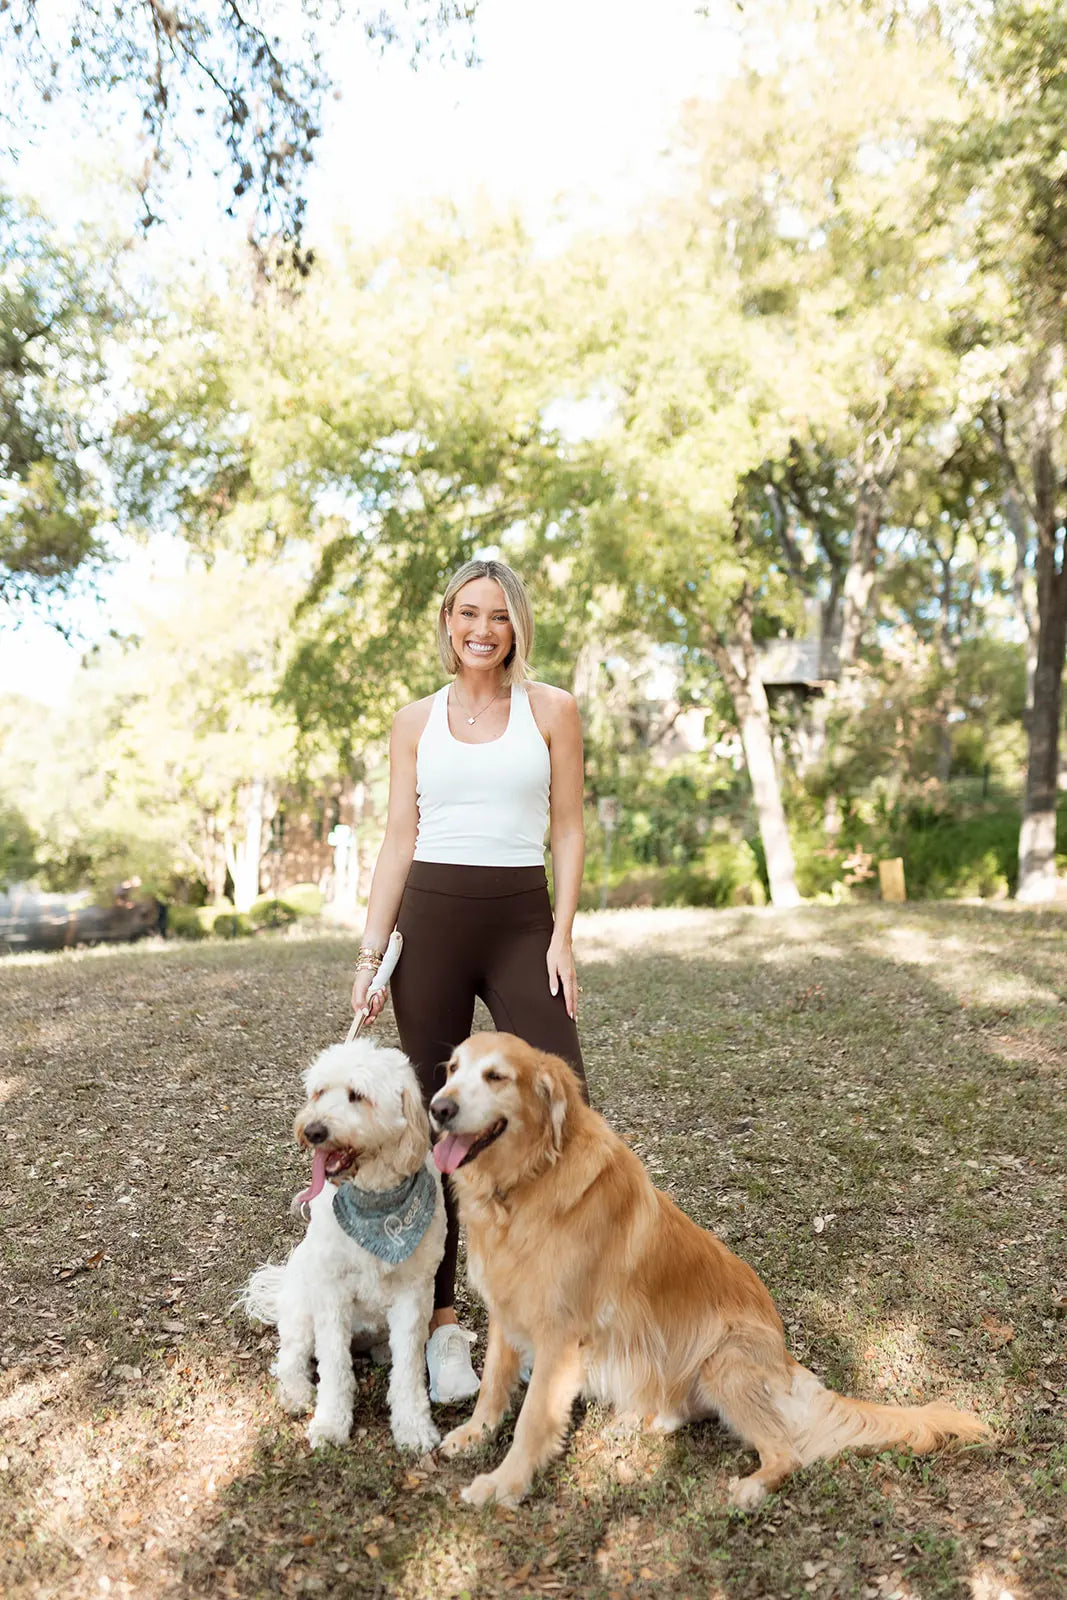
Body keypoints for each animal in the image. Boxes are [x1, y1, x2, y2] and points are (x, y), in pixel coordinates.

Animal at [239, 1036, 444, 1465]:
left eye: (357, 1096)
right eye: (318, 1093)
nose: (313, 1130)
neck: (374, 1199)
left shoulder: (415, 1293)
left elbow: (409, 1369)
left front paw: (413, 1427)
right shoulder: (331, 1293)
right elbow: (334, 1366)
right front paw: (331, 1424)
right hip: (302, 1309)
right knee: (289, 1359)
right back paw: (296, 1394)